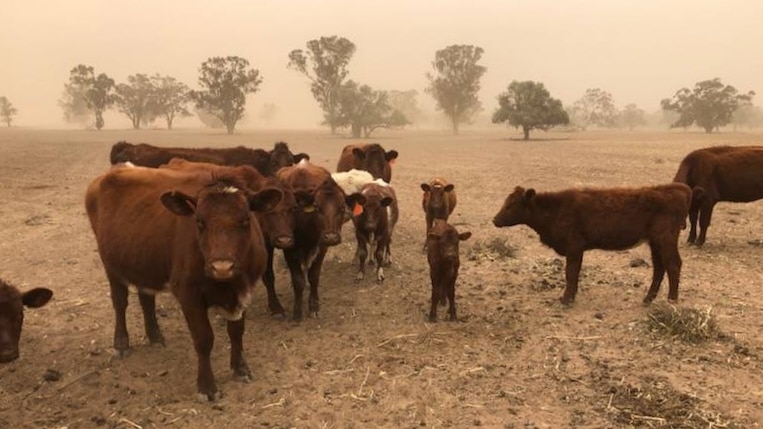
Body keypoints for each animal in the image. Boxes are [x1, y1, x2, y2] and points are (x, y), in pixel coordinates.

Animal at [86, 165, 284, 402]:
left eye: (245, 219)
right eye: (199, 221)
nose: (222, 267)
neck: (228, 284)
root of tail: (117, 169)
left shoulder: (243, 291)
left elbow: (236, 332)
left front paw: (240, 368)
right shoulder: (188, 294)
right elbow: (204, 339)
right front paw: (207, 387)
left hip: (144, 262)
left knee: (146, 299)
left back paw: (155, 336)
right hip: (112, 266)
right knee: (119, 303)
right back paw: (121, 343)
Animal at [268, 159, 350, 320]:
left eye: (342, 206)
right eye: (317, 207)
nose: (331, 237)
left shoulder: (321, 247)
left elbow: (314, 276)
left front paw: (314, 306)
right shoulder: (289, 248)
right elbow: (298, 280)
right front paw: (297, 312)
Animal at [492, 183, 696, 304]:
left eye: (511, 205)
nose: (495, 220)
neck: (556, 209)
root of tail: (677, 188)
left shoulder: (574, 247)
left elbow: (571, 273)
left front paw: (566, 299)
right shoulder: (577, 249)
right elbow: (575, 273)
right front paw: (572, 296)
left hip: (665, 239)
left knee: (673, 265)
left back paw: (671, 300)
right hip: (655, 242)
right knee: (659, 267)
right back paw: (648, 299)